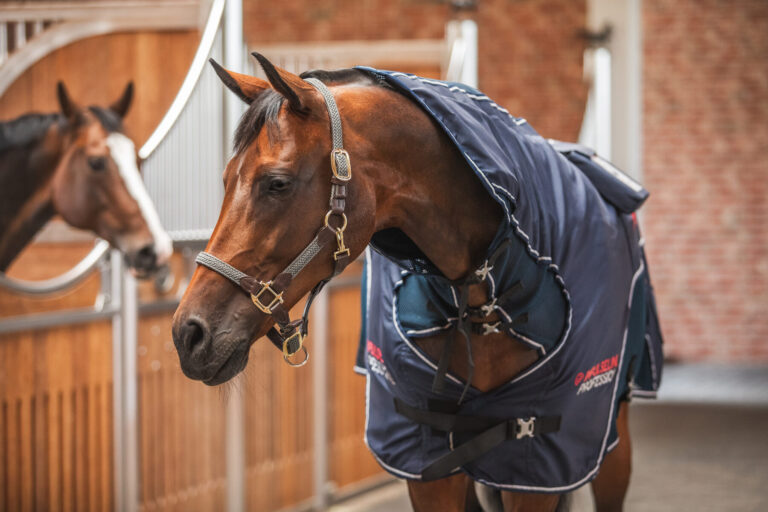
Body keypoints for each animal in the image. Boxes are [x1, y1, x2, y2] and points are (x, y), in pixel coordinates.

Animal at [171, 54, 663, 512]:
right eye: (225, 179)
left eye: (277, 183)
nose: (188, 333)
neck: (480, 297)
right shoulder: (427, 458)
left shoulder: (537, 462)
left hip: (609, 445)